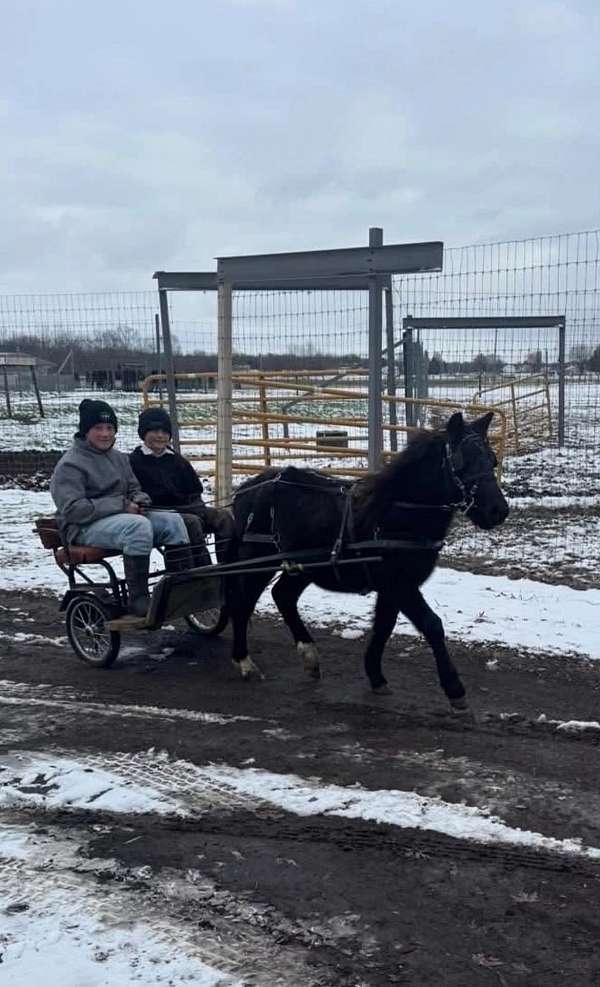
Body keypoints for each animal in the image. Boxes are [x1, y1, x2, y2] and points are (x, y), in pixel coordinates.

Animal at [227, 411, 509, 711]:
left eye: (492, 460)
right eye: (461, 463)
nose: (498, 511)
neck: (394, 514)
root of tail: (248, 488)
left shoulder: (391, 588)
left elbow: (383, 627)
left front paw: (376, 676)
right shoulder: (400, 585)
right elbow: (431, 624)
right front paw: (454, 688)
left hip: (303, 567)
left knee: (283, 596)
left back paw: (309, 655)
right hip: (257, 559)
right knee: (243, 603)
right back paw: (244, 661)